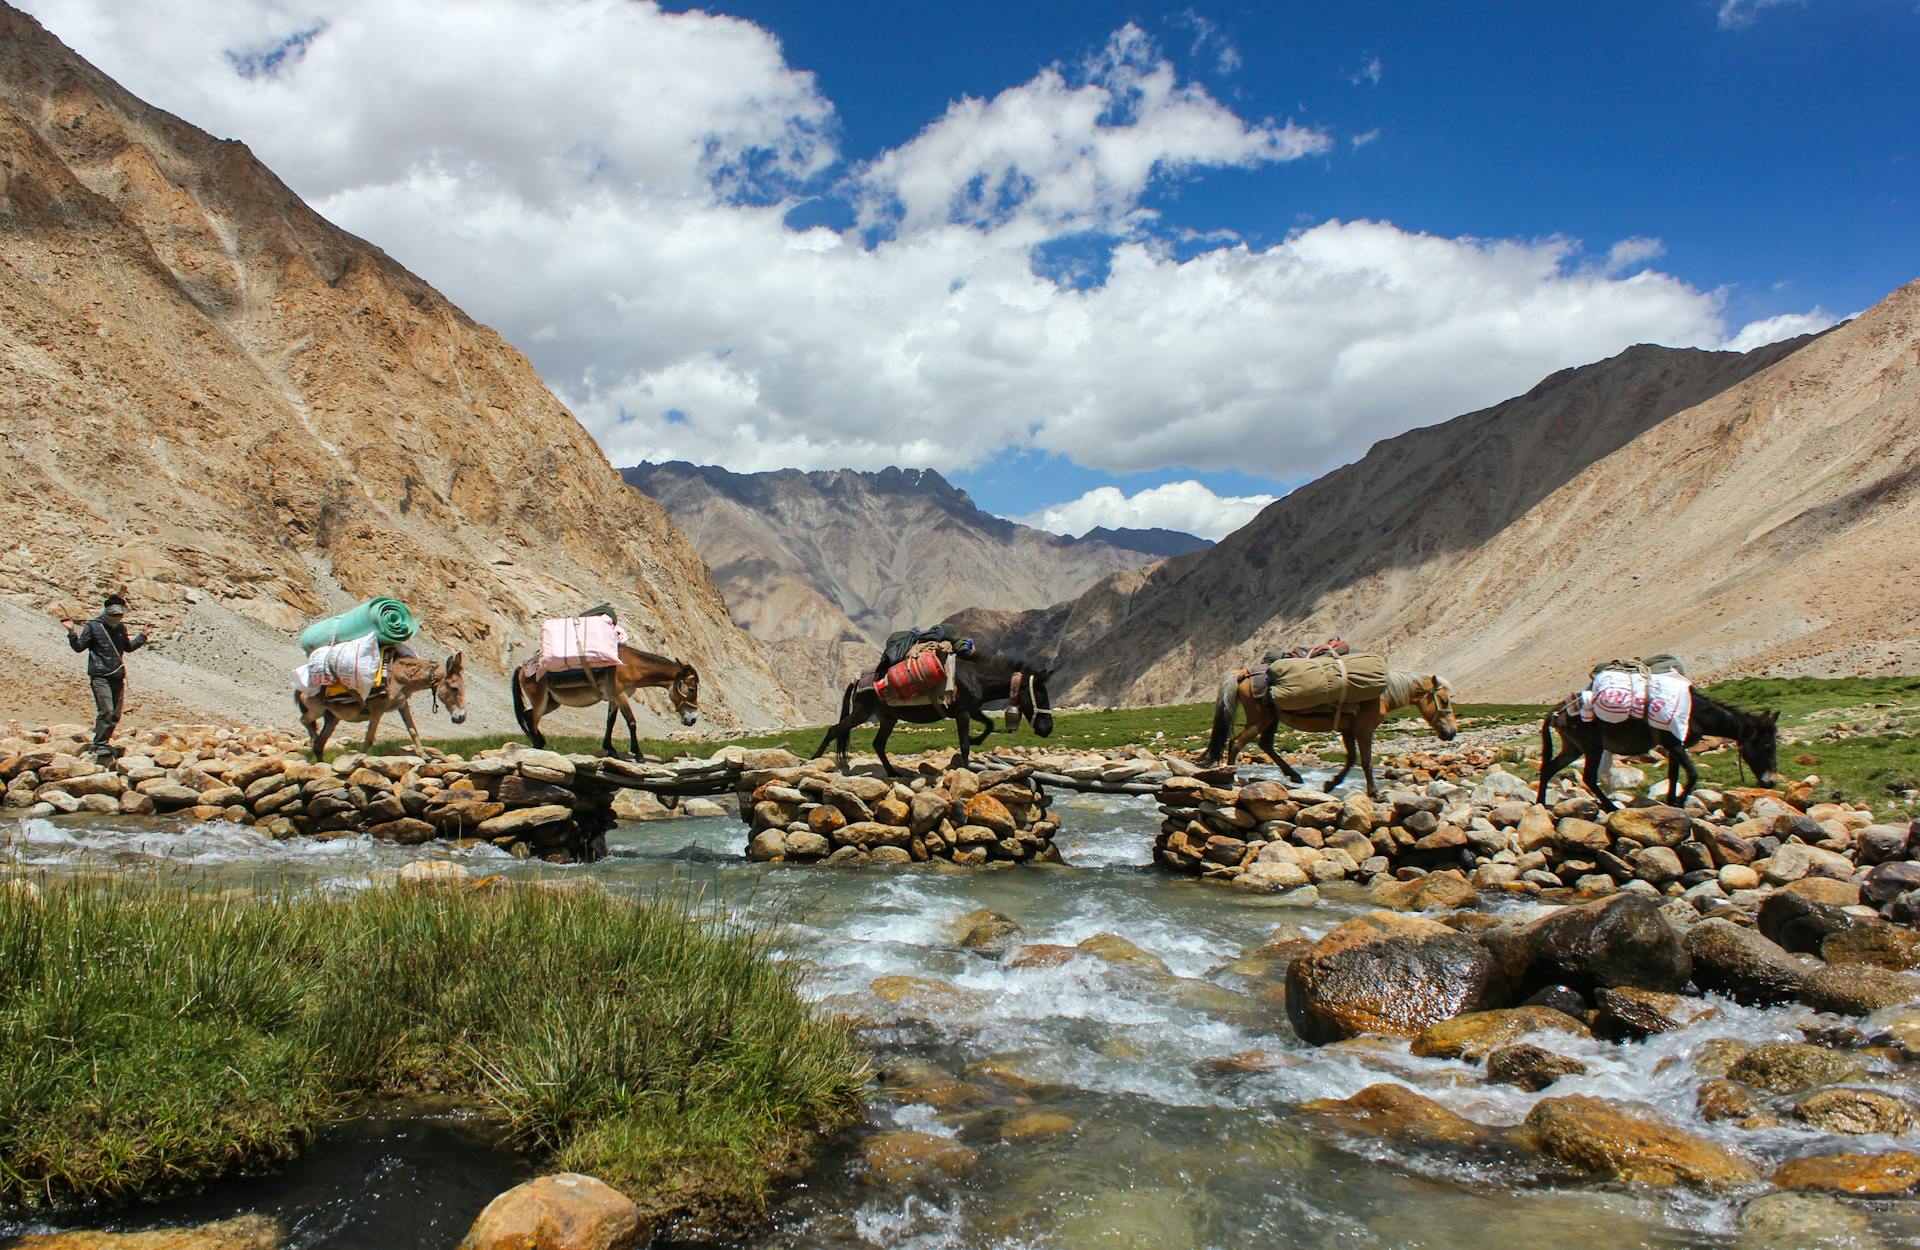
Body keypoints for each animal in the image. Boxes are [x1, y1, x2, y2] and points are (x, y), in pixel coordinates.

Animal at [295, 656, 468, 764]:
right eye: (454, 688)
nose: (461, 717)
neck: (399, 679)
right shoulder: (377, 710)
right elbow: (369, 739)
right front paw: (357, 759)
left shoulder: (402, 705)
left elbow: (413, 730)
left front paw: (424, 756)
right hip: (317, 709)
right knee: (305, 721)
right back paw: (313, 737)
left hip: (332, 717)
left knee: (320, 743)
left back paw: (320, 761)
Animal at [510, 649, 698, 756]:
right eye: (691, 689)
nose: (693, 719)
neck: (629, 665)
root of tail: (523, 666)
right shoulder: (621, 696)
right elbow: (631, 722)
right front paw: (638, 754)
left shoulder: (614, 699)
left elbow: (610, 722)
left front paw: (610, 749)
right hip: (541, 701)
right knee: (532, 719)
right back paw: (537, 746)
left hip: (551, 702)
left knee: (527, 715)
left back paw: (539, 742)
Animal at [806, 649, 1059, 775]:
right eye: (1041, 695)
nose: (1047, 730)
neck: (975, 677)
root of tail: (857, 679)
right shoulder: (963, 713)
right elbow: (964, 744)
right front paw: (967, 768)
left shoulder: (971, 710)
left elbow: (989, 725)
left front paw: (976, 740)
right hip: (861, 712)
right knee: (834, 729)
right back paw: (813, 759)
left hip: (888, 718)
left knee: (878, 744)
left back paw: (894, 773)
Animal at [1198, 668, 1451, 798]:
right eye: (1446, 700)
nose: (1451, 733)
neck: (1382, 694)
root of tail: (1244, 674)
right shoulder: (1363, 729)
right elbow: (1366, 761)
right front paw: (1374, 792)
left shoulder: (1348, 729)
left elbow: (1352, 759)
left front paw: (1330, 784)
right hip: (1260, 719)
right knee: (1236, 743)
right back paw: (1232, 778)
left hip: (1271, 719)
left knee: (1265, 744)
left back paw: (1295, 776)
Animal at [1536, 683, 1774, 810]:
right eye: (1767, 745)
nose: (1770, 782)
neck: (1695, 713)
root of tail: (1557, 711)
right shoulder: (1674, 744)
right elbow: (1692, 774)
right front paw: (1680, 802)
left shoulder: (1673, 747)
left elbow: (1674, 774)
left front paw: (1672, 802)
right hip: (1592, 747)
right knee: (1588, 778)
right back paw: (1611, 807)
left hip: (1573, 747)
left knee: (1549, 769)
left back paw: (1541, 803)